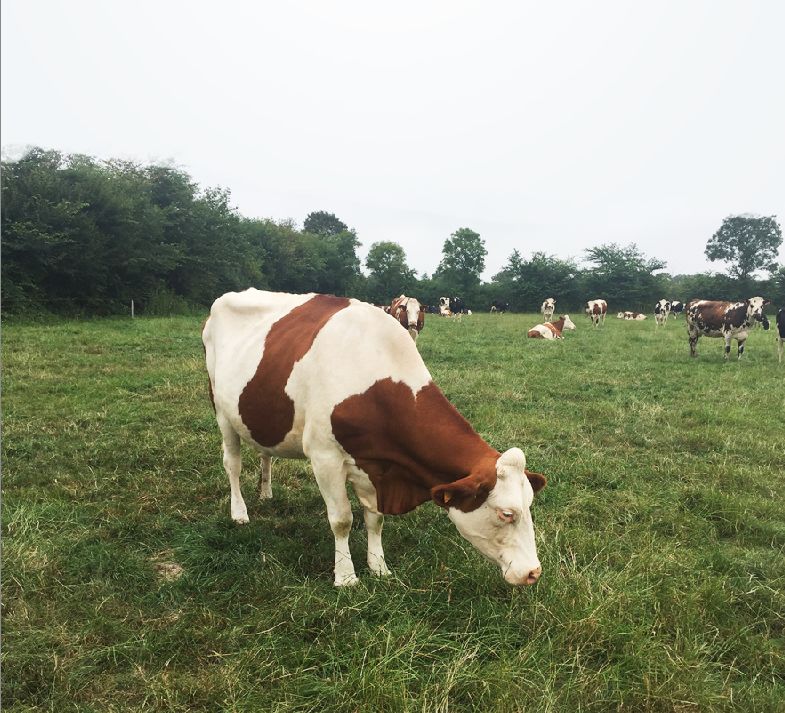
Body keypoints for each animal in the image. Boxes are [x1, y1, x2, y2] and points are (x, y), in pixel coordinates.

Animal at [202, 288, 544, 584]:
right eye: (506, 513)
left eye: (530, 505)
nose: (534, 572)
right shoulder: (324, 457)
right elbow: (341, 519)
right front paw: (346, 577)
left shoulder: (376, 464)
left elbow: (374, 519)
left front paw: (378, 567)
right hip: (221, 410)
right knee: (232, 464)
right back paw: (239, 512)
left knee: (265, 452)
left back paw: (266, 492)